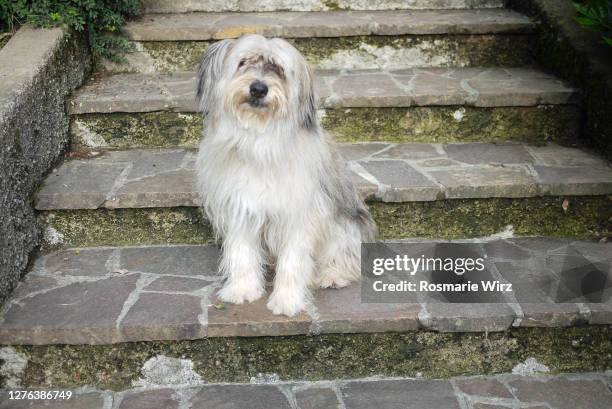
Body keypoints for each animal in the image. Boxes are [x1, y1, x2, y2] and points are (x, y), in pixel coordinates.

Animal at [196, 35, 378, 316]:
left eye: (279, 69)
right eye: (243, 62)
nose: (258, 89)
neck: (259, 143)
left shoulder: (299, 213)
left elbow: (293, 261)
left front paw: (287, 300)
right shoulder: (240, 207)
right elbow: (242, 253)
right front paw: (242, 289)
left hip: (344, 225)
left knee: (344, 256)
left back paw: (333, 275)